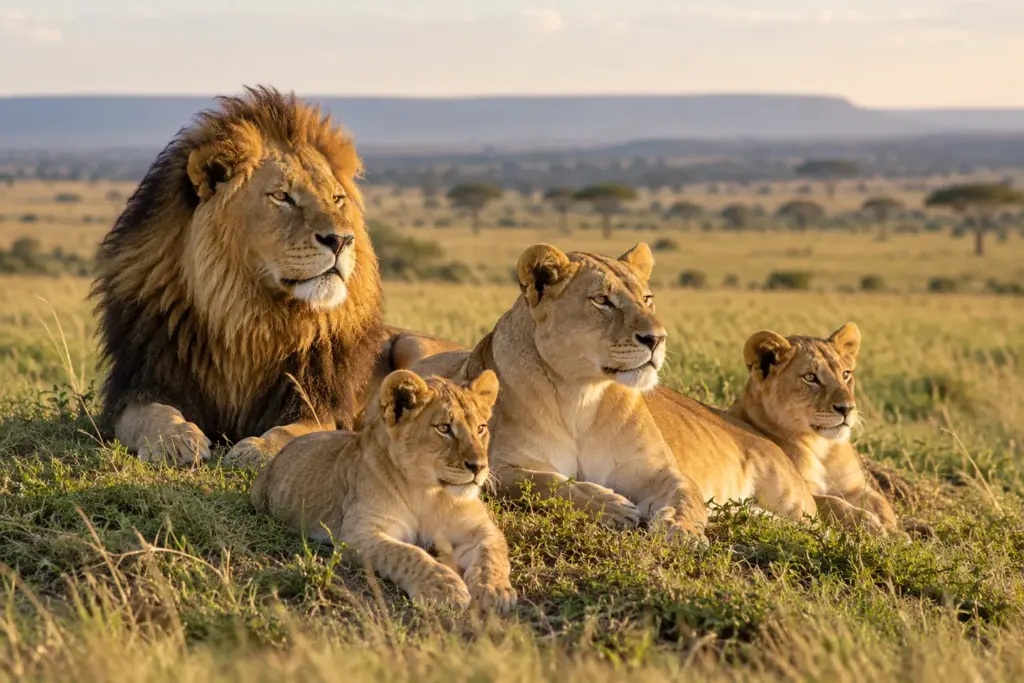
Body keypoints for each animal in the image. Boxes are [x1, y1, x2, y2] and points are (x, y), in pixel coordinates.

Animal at [92, 86, 389, 467]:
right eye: (282, 196)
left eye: (337, 199)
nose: (341, 240)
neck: (246, 315)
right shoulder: (140, 386)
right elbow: (156, 414)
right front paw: (176, 440)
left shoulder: (320, 405)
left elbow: (292, 432)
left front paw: (259, 450)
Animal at [251, 368, 516, 613]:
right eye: (444, 428)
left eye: (480, 428)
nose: (479, 466)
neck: (428, 492)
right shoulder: (359, 534)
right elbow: (408, 554)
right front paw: (444, 587)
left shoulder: (479, 528)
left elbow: (492, 552)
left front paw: (494, 589)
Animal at [408, 243, 817, 543]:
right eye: (602, 300)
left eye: (648, 299)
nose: (657, 339)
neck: (581, 394)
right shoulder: (498, 468)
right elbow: (548, 484)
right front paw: (611, 507)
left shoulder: (656, 470)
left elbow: (687, 495)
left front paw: (681, 530)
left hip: (791, 498)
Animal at [727, 323, 898, 535]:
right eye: (810, 377)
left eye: (846, 375)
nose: (847, 409)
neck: (823, 448)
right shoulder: (803, 487)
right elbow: (832, 503)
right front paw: (871, 525)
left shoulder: (855, 487)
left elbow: (883, 505)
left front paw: (896, 534)